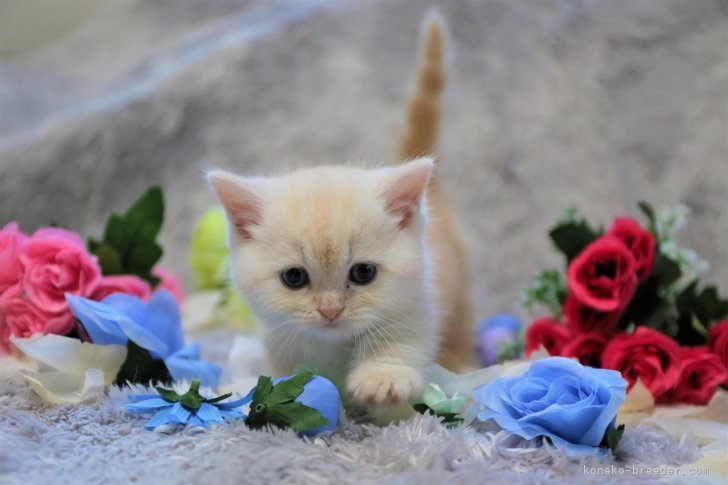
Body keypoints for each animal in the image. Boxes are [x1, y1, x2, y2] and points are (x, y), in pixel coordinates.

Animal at [208, 12, 474, 404]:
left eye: (364, 273)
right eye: (293, 277)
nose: (330, 310)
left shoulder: (418, 305)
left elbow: (404, 341)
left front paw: (383, 376)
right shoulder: (280, 341)